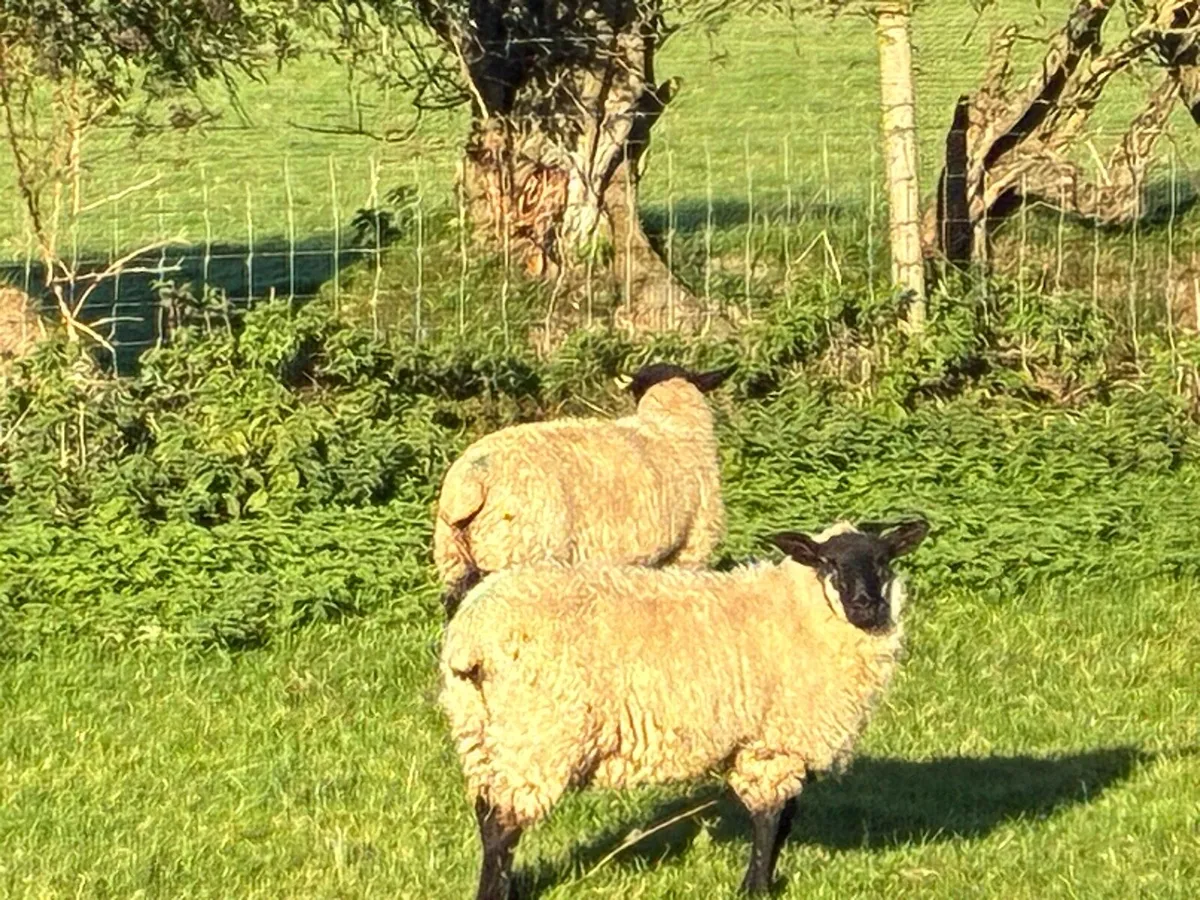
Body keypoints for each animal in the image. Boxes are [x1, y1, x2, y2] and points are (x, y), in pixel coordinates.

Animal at [438, 517, 930, 899]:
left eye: (884, 562)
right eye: (829, 563)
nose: (866, 605)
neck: (798, 612)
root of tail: (472, 635)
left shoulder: (769, 741)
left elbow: (786, 818)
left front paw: (764, 880)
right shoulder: (775, 741)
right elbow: (772, 817)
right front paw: (755, 888)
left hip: (479, 729)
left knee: (486, 813)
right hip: (538, 730)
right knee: (503, 823)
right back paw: (495, 894)